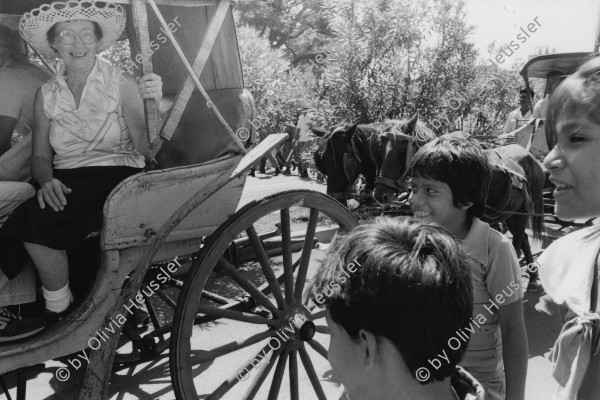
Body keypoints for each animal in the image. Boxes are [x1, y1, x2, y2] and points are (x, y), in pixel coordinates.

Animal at [368, 114, 548, 268]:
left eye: (400, 151)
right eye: (379, 150)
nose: (380, 194)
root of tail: (530, 158)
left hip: (520, 214)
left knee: (517, 241)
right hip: (508, 214)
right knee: (523, 239)